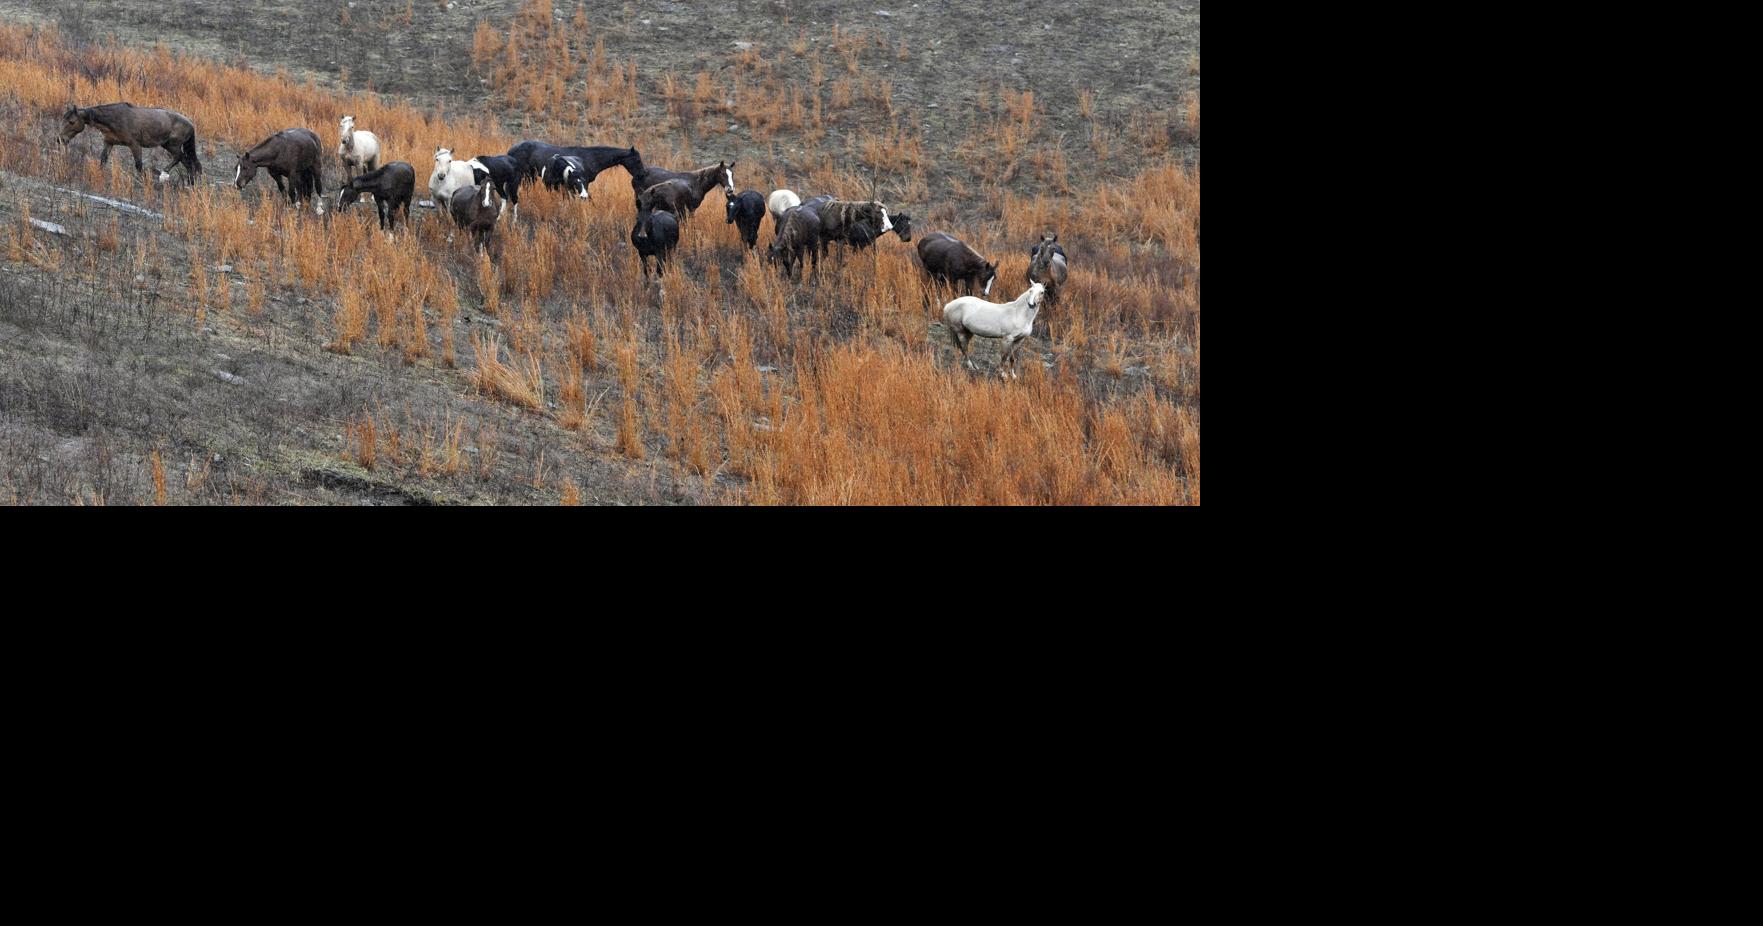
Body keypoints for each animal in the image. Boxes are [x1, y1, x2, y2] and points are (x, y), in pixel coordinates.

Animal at [59, 102, 201, 184]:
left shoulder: (135, 145)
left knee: (179, 157)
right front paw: (99, 174)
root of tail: (191, 124)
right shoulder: (108, 142)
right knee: (186, 162)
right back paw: (190, 182)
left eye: (71, 121)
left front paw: (143, 180)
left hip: (172, 145)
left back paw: (163, 173)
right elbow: (103, 159)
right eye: (63, 119)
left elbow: (138, 165)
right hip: (167, 145)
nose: (60, 139)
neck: (115, 119)